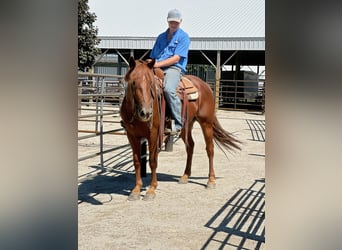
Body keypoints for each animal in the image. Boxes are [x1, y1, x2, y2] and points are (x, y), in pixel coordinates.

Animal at [120, 57, 240, 201]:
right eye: (133, 82)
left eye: (151, 83)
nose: (146, 113)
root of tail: (204, 85)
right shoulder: (131, 135)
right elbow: (137, 161)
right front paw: (136, 190)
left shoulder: (154, 134)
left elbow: (153, 161)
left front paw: (151, 190)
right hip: (186, 126)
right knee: (190, 146)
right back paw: (185, 176)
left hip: (206, 123)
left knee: (210, 149)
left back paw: (211, 180)